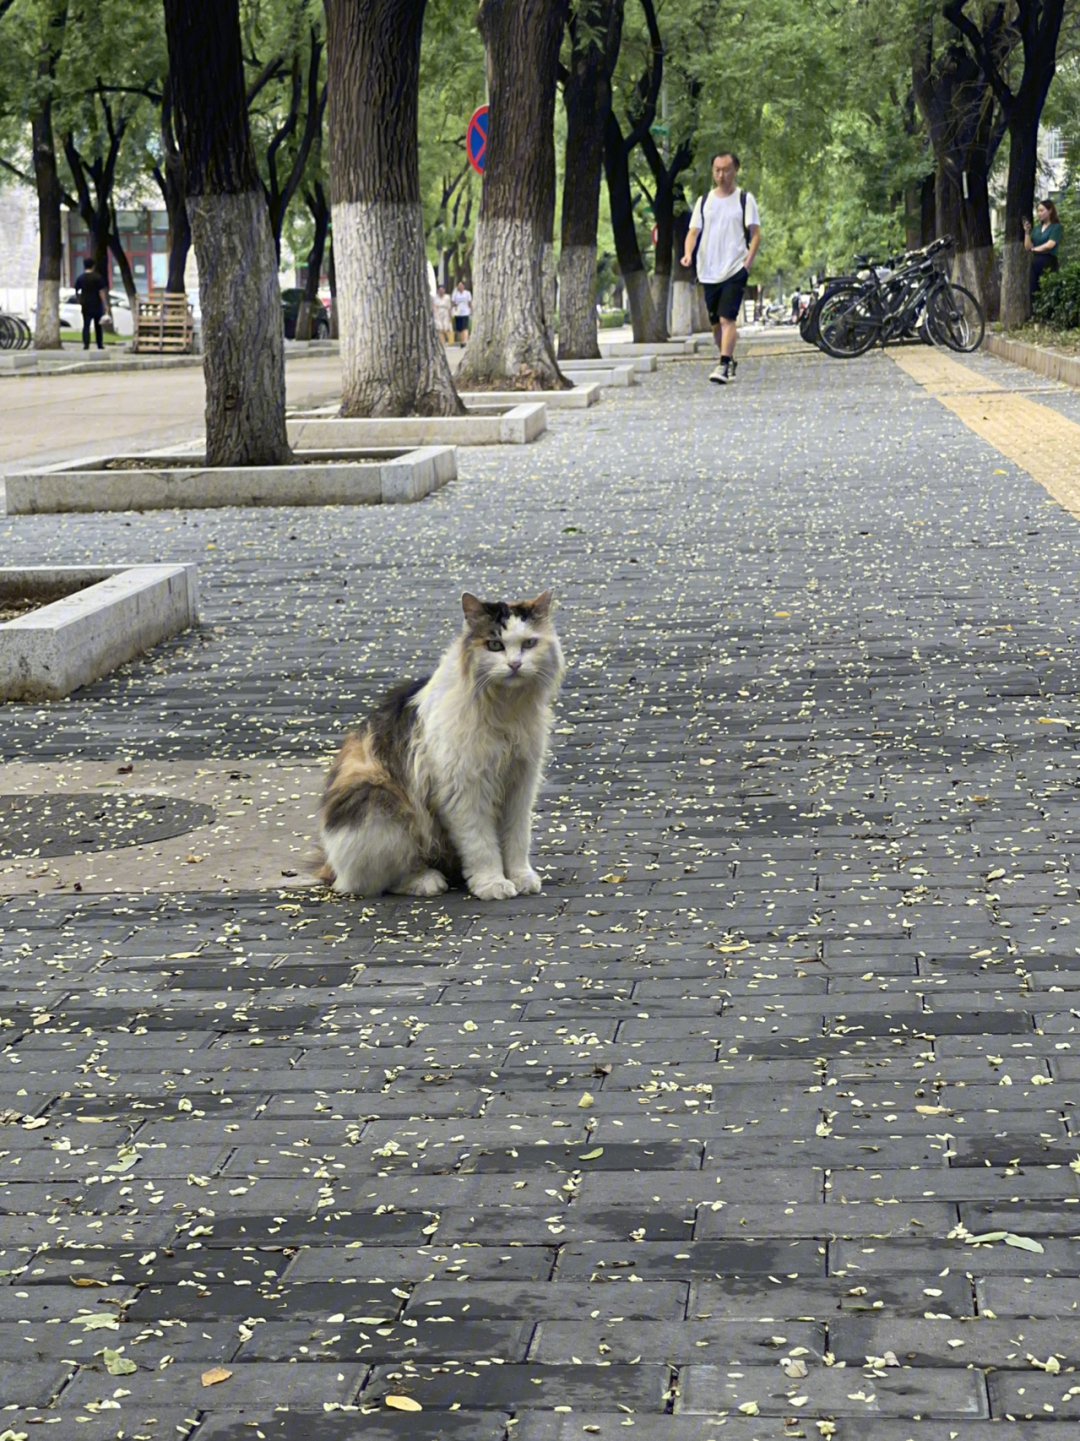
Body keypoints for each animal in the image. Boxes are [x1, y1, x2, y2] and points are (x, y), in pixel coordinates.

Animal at [311, 590, 565, 893]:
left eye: (529, 644)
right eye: (494, 645)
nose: (515, 664)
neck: (506, 710)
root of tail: (329, 866)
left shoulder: (520, 784)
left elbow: (517, 838)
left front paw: (520, 877)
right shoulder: (464, 789)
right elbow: (481, 844)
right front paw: (492, 883)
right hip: (378, 806)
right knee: (377, 881)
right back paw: (427, 881)